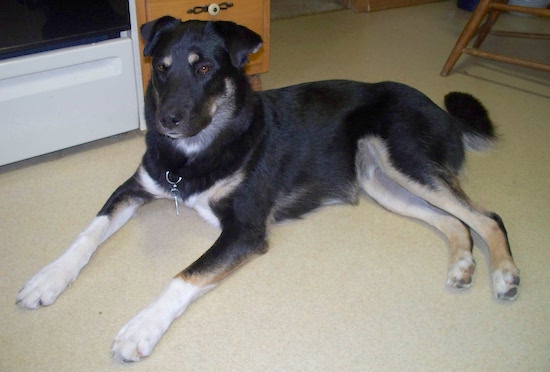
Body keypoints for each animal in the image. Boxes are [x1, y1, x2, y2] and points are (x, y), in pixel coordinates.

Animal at [15, 16, 520, 360]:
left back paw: (504, 275)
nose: (166, 120)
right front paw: (47, 278)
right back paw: (462, 266)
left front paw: (142, 328)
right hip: (383, 181)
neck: (197, 151)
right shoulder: (138, 184)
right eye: (160, 68)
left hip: (403, 156)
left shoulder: (244, 230)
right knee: (455, 222)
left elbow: (184, 274)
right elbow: (89, 231)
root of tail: (442, 110)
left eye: (203, 70)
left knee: (486, 216)